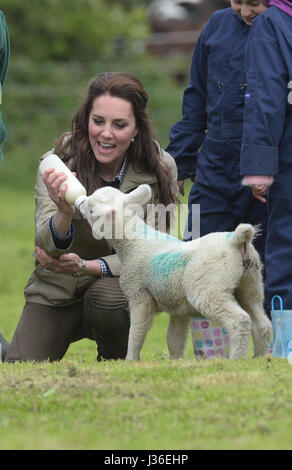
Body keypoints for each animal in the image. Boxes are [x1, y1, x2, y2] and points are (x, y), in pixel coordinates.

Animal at [77, 184, 272, 360]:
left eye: (91, 208)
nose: (79, 201)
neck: (133, 243)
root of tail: (235, 240)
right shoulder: (179, 307)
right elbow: (174, 339)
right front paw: (176, 362)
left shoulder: (139, 296)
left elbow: (136, 333)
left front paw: (130, 360)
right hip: (251, 280)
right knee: (261, 321)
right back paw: (261, 357)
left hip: (208, 286)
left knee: (240, 320)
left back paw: (236, 358)